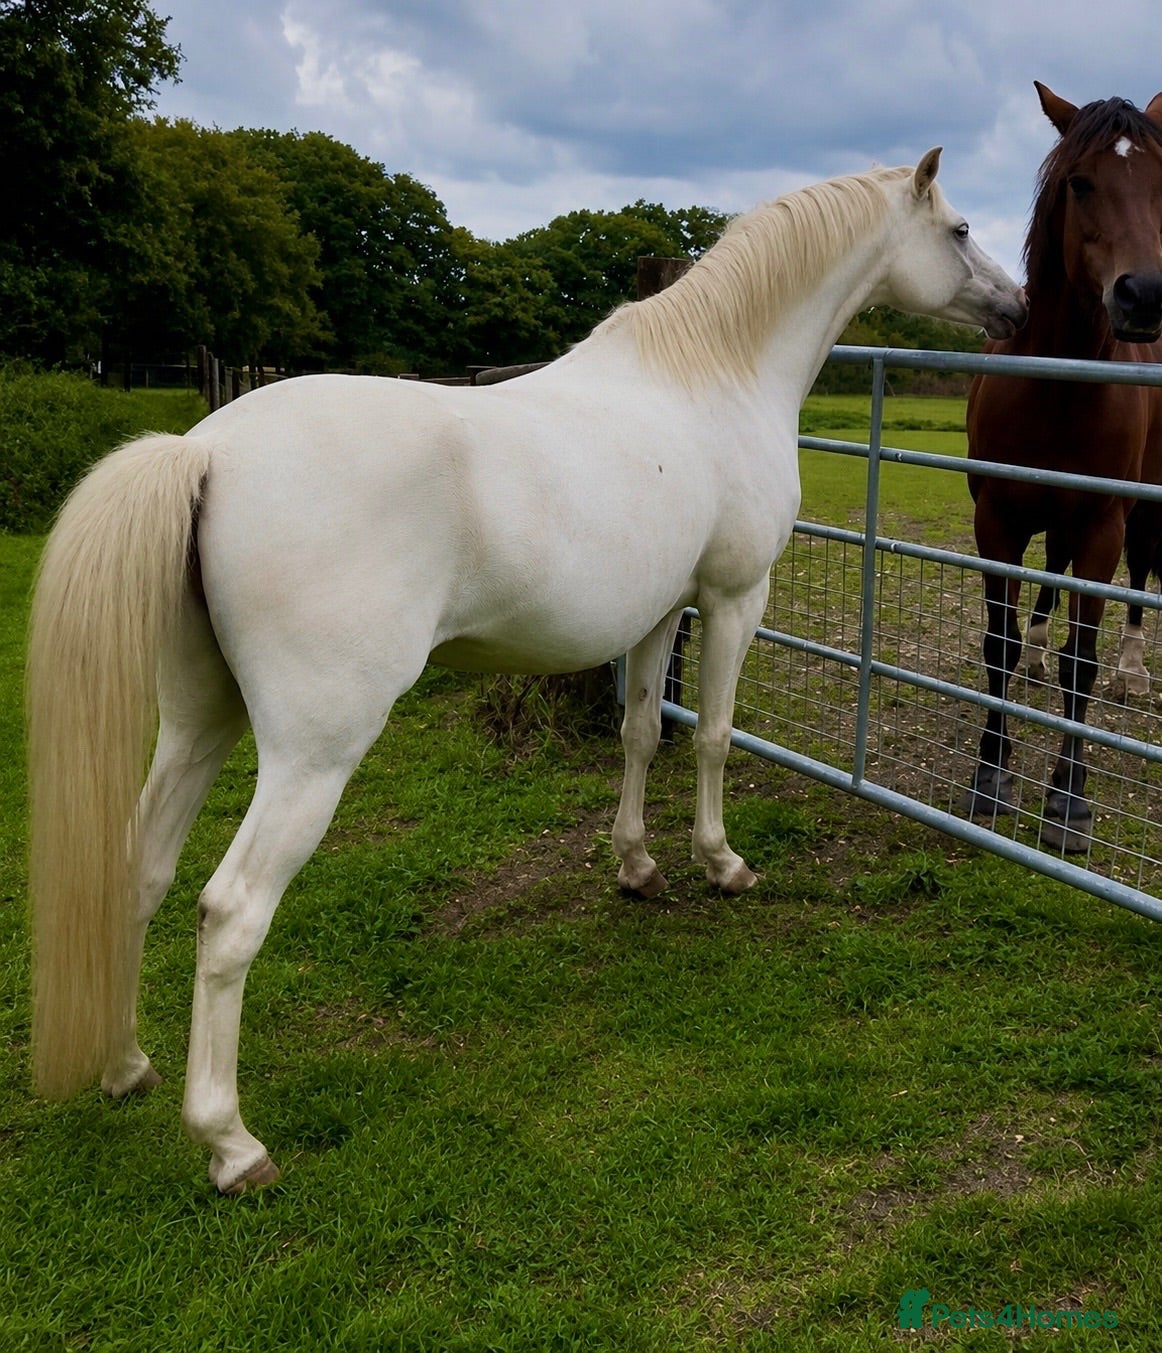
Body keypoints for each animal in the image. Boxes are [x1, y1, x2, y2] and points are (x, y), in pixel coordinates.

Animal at [27, 151, 1024, 1194]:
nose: (1015, 304)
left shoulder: (659, 611)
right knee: (229, 913)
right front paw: (722, 863)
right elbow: (710, 736)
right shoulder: (733, 597)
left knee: (139, 871)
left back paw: (126, 1065)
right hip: (311, 753)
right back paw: (230, 1142)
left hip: (199, 719)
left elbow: (640, 732)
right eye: (958, 229)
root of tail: (207, 452)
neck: (712, 374)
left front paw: (637, 864)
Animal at [962, 82, 1162, 853]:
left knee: (1139, 578)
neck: (1060, 385)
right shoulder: (997, 519)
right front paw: (993, 773)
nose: (1144, 296)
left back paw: (1133, 677)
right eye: (1080, 183)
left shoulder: (1103, 524)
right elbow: (1000, 642)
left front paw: (1069, 798)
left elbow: (1086, 656)